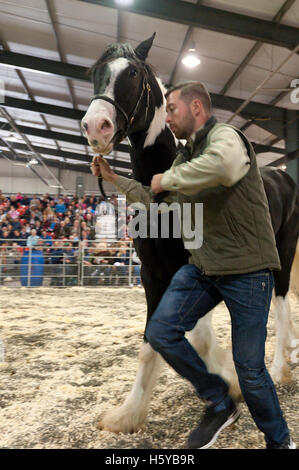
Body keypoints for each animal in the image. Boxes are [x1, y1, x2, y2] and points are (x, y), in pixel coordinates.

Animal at [82, 35, 299, 436]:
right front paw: (127, 414)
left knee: (280, 304)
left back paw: (280, 367)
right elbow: (153, 339)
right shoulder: (152, 275)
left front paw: (230, 381)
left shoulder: (198, 269)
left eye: (132, 73)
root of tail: (282, 174)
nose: (96, 127)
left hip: (283, 253)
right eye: (95, 72)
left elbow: (198, 336)